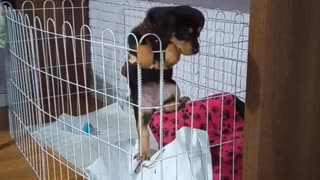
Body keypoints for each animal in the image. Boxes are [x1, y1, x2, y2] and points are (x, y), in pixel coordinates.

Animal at [122, 4, 205, 161]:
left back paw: (179, 103)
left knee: (166, 106)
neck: (159, 37)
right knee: (143, 132)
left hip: (172, 85)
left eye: (198, 34)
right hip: (141, 109)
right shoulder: (135, 33)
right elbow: (142, 41)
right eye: (186, 32)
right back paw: (144, 154)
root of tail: (154, 105)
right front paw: (146, 59)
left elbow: (172, 44)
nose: (197, 50)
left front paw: (171, 56)